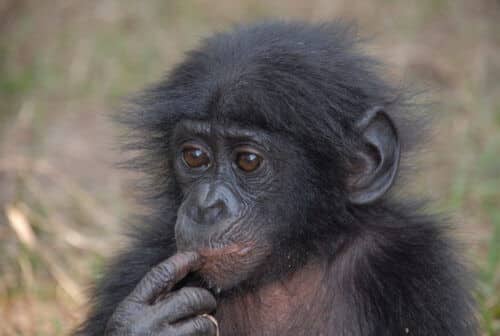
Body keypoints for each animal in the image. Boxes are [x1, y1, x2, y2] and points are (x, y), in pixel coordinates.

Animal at [74, 21, 476, 336]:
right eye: (195, 156)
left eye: (248, 161)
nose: (206, 205)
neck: (287, 269)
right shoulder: (139, 264)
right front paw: (146, 324)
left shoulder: (415, 267)